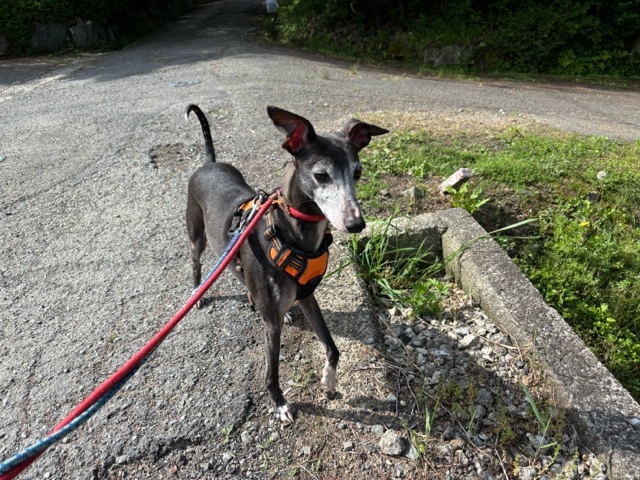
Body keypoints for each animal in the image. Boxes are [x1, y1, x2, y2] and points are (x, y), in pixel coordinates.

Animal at [185, 104, 388, 424]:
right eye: (321, 175)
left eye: (358, 172)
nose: (356, 224)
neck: (293, 236)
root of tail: (209, 163)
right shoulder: (272, 326)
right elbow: (271, 373)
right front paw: (280, 403)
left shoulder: (307, 295)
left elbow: (332, 347)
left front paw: (329, 380)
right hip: (197, 235)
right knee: (195, 262)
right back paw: (198, 292)